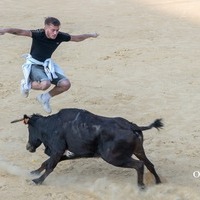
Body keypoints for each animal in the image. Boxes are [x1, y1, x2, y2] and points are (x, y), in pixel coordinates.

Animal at [10, 108, 163, 188]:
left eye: (29, 128)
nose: (28, 147)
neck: (50, 125)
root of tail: (132, 126)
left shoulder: (57, 150)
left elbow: (50, 166)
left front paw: (37, 181)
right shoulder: (68, 153)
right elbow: (46, 163)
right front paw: (34, 172)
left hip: (114, 158)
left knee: (139, 165)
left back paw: (141, 187)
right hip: (138, 150)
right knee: (149, 164)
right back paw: (158, 182)